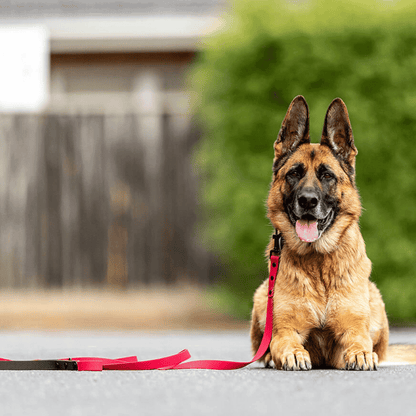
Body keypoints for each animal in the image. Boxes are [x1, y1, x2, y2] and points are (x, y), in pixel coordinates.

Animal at [250, 96, 390, 370]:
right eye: (294, 173)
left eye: (327, 175)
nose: (307, 200)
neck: (318, 261)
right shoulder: (285, 331)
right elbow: (285, 344)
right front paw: (293, 355)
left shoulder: (352, 331)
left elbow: (360, 343)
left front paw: (362, 354)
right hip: (262, 296)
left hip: (376, 300)